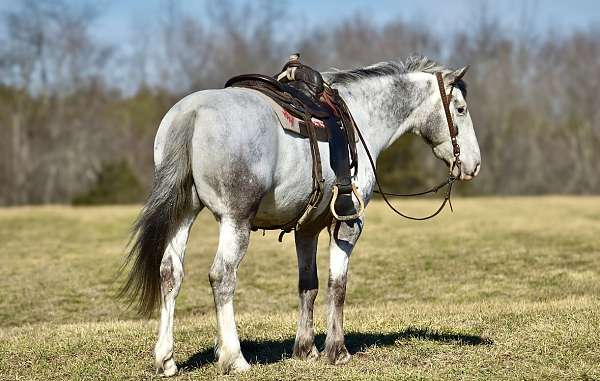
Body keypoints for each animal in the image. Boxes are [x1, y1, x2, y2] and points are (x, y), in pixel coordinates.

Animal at [122, 55, 482, 374]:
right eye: (460, 109)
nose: (474, 165)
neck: (361, 118)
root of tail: (191, 114)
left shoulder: (306, 228)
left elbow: (308, 285)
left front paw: (305, 349)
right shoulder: (348, 223)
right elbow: (338, 285)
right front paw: (337, 351)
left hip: (184, 212)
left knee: (170, 274)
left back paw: (166, 359)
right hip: (235, 220)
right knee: (222, 276)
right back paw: (234, 358)